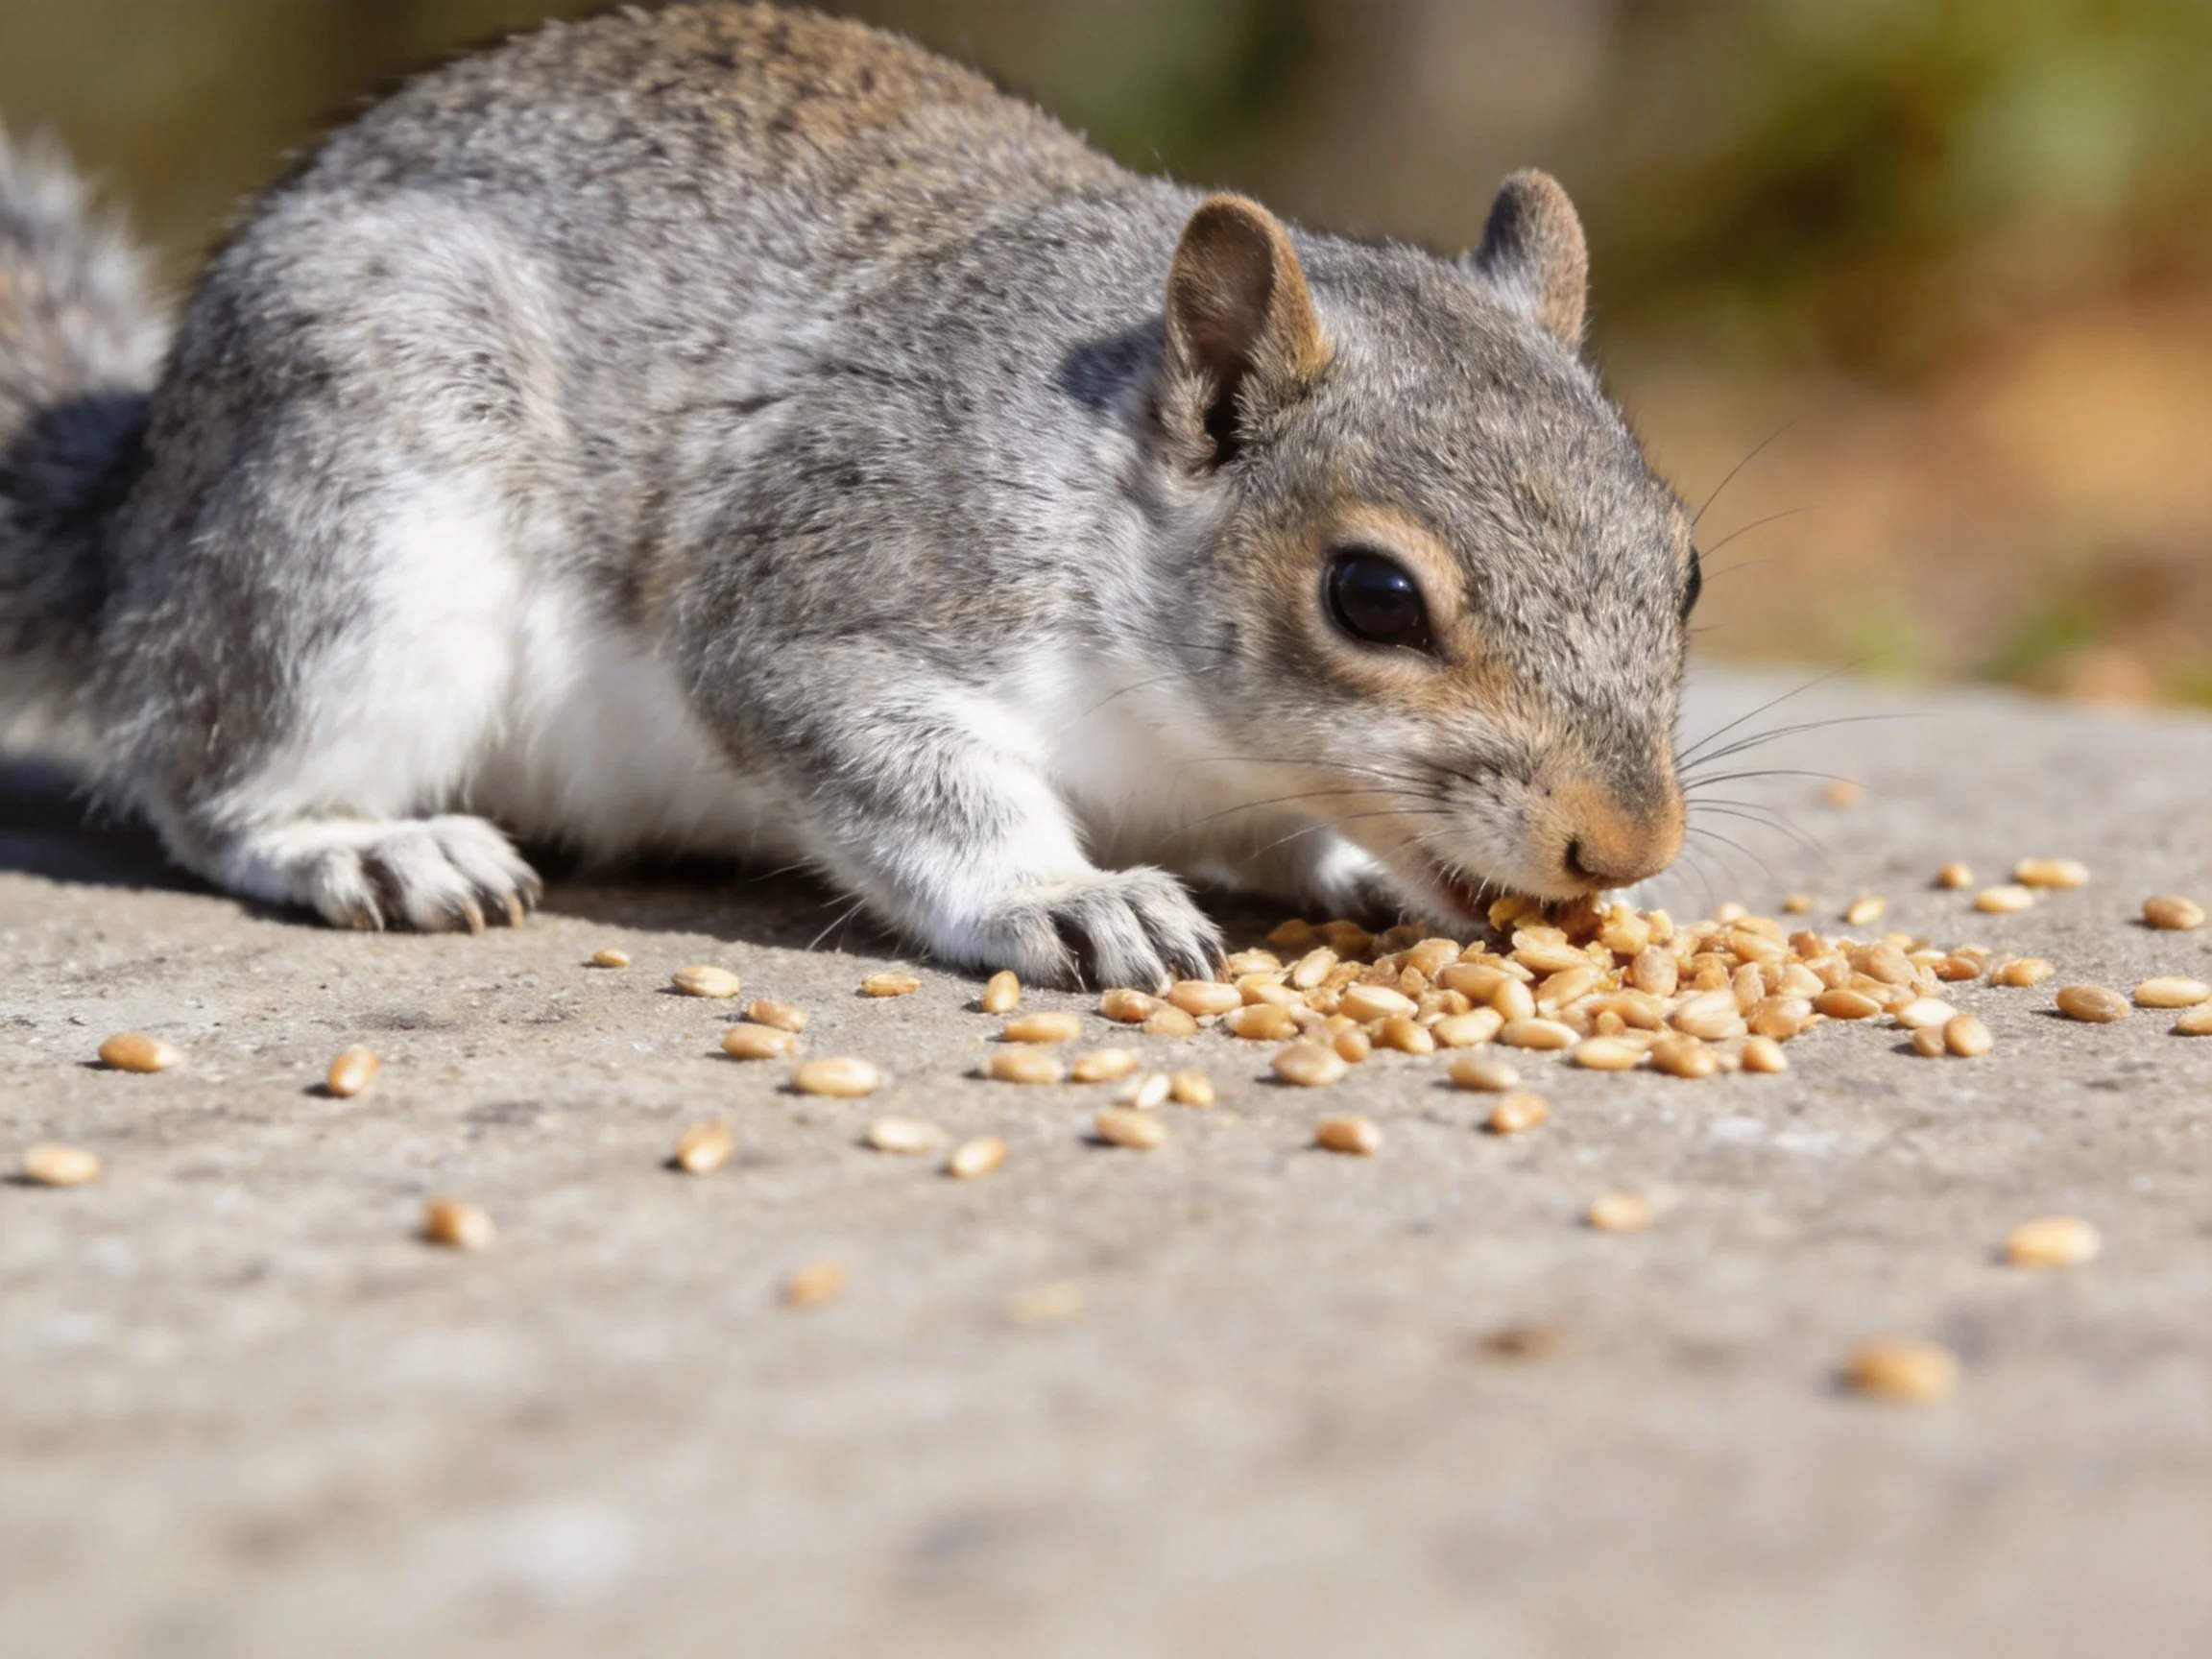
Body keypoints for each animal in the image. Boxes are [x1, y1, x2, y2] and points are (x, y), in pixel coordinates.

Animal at [0, 2, 1696, 990]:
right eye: (1371, 597)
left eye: (1682, 568)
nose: (1626, 850)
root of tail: (136, 516)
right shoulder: (834, 578)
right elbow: (899, 767)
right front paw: (1071, 899)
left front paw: (1355, 872)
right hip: (356, 523)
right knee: (210, 774)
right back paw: (367, 848)